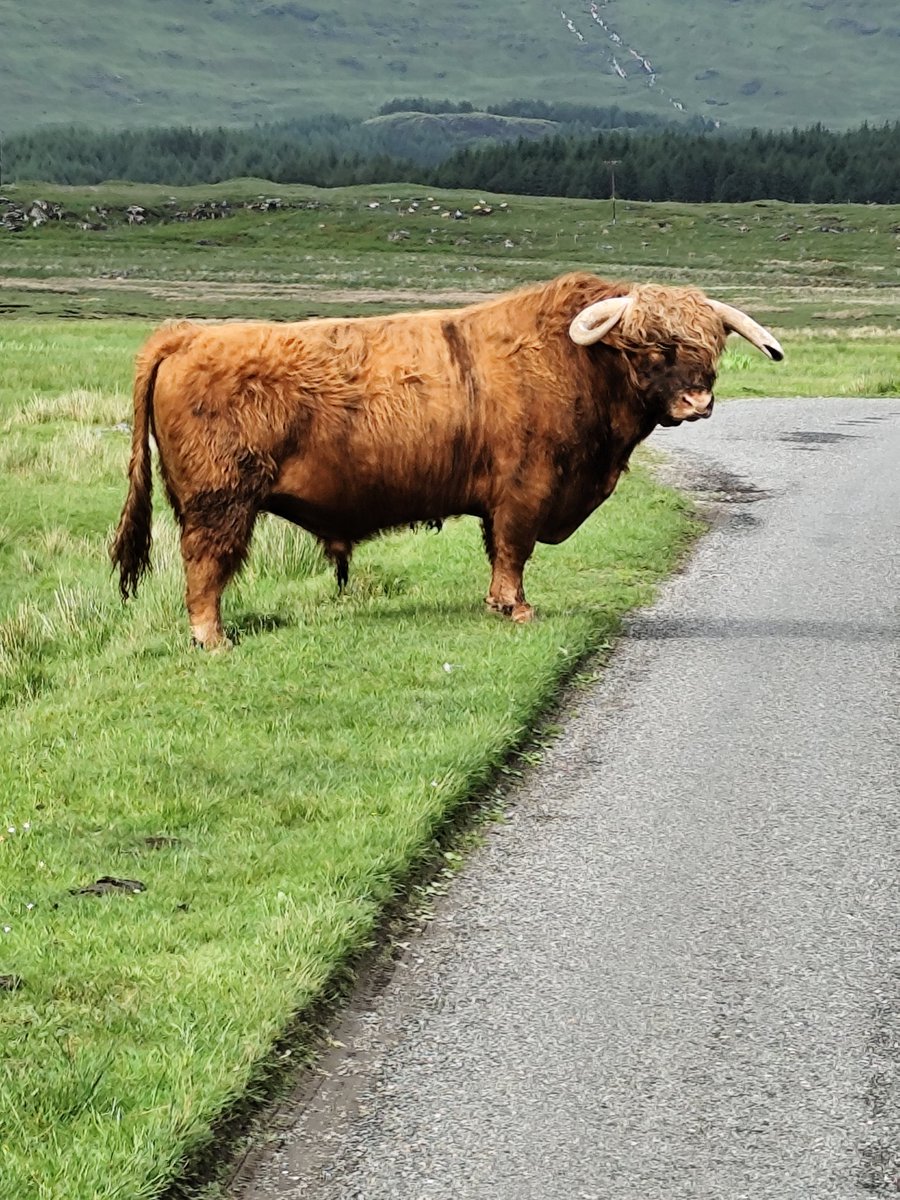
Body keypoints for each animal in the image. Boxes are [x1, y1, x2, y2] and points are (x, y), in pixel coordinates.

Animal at [110, 271, 783, 648]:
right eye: (650, 346)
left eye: (711, 346)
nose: (699, 401)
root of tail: (187, 334)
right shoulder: (524, 489)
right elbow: (513, 550)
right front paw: (517, 609)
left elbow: (498, 551)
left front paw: (498, 603)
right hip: (220, 500)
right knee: (206, 565)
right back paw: (213, 639)